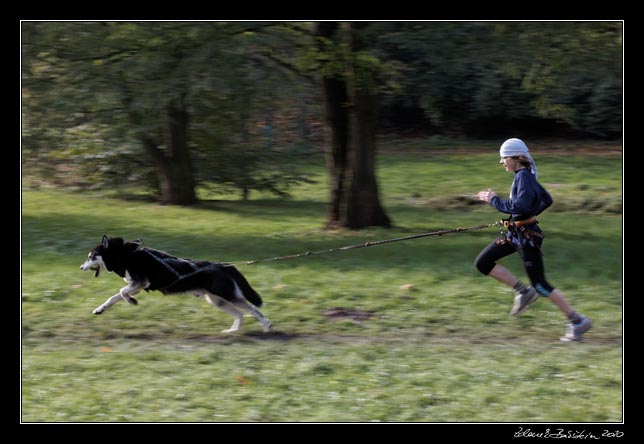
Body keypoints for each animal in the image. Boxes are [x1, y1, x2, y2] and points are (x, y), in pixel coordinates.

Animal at [80, 236, 272, 332]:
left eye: (90, 257)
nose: (81, 267)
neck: (124, 256)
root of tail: (224, 266)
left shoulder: (140, 283)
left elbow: (121, 292)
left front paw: (131, 301)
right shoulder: (136, 286)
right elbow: (114, 297)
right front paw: (100, 309)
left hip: (229, 296)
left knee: (253, 310)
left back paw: (267, 327)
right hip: (217, 301)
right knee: (240, 314)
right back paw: (232, 332)